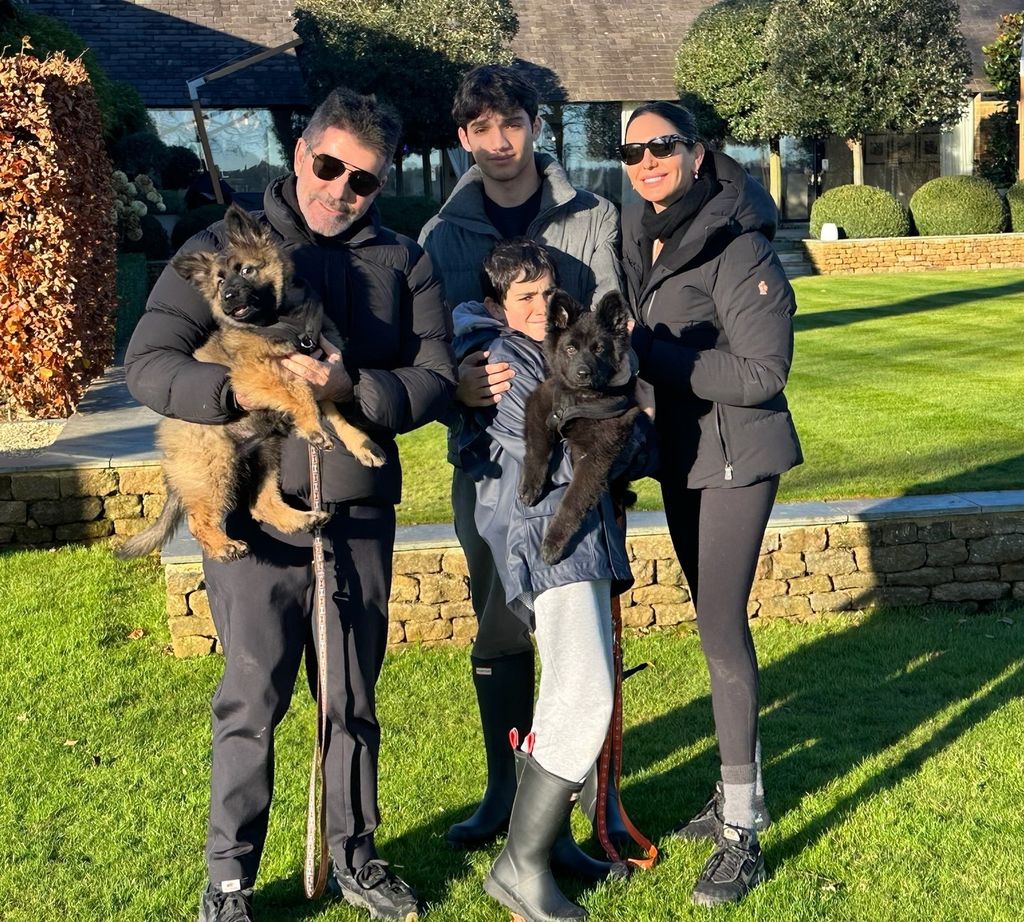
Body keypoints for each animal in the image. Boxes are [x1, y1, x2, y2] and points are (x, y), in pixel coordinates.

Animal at [118, 204, 385, 561]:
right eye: (219, 281)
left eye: (246, 270)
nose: (228, 297)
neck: (280, 322)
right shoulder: (253, 375)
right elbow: (296, 390)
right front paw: (313, 427)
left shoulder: (322, 374)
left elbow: (337, 415)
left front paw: (361, 444)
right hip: (215, 463)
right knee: (199, 519)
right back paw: (224, 545)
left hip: (266, 452)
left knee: (260, 503)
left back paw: (301, 519)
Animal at [520, 290, 638, 561]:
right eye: (571, 349)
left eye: (599, 349)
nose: (583, 373)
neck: (581, 400)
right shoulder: (541, 400)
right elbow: (538, 447)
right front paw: (531, 485)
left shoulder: (596, 455)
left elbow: (572, 500)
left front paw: (553, 543)